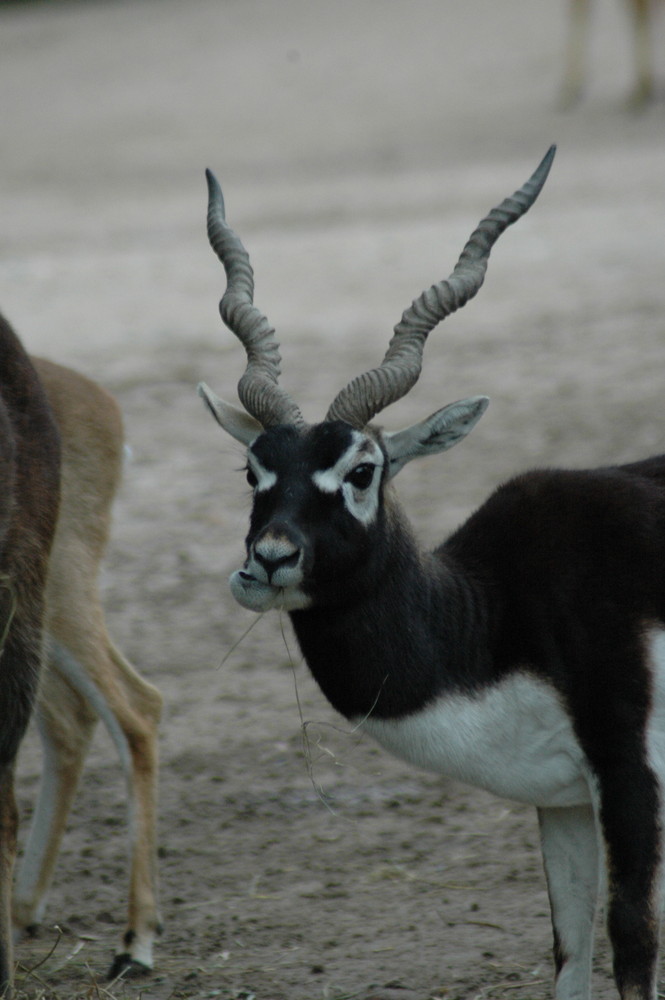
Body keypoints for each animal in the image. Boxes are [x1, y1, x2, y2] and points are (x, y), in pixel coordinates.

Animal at [198, 146, 665, 1000]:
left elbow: (632, 944)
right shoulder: (562, 800)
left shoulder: (628, 776)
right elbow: (568, 950)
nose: (267, 562)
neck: (499, 612)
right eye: (253, 471)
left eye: (362, 471)